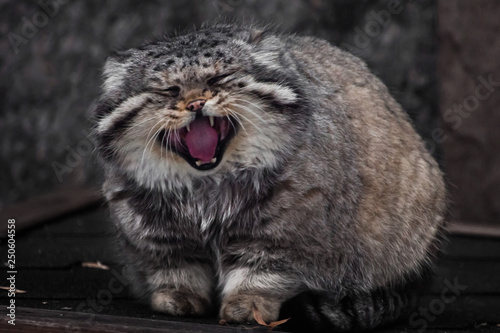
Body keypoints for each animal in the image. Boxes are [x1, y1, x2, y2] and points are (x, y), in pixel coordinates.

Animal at [93, 23, 446, 330]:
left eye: (219, 78)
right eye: (170, 89)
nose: (196, 103)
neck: (207, 188)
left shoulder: (284, 234)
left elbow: (260, 273)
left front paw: (247, 304)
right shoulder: (154, 235)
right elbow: (177, 268)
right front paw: (178, 295)